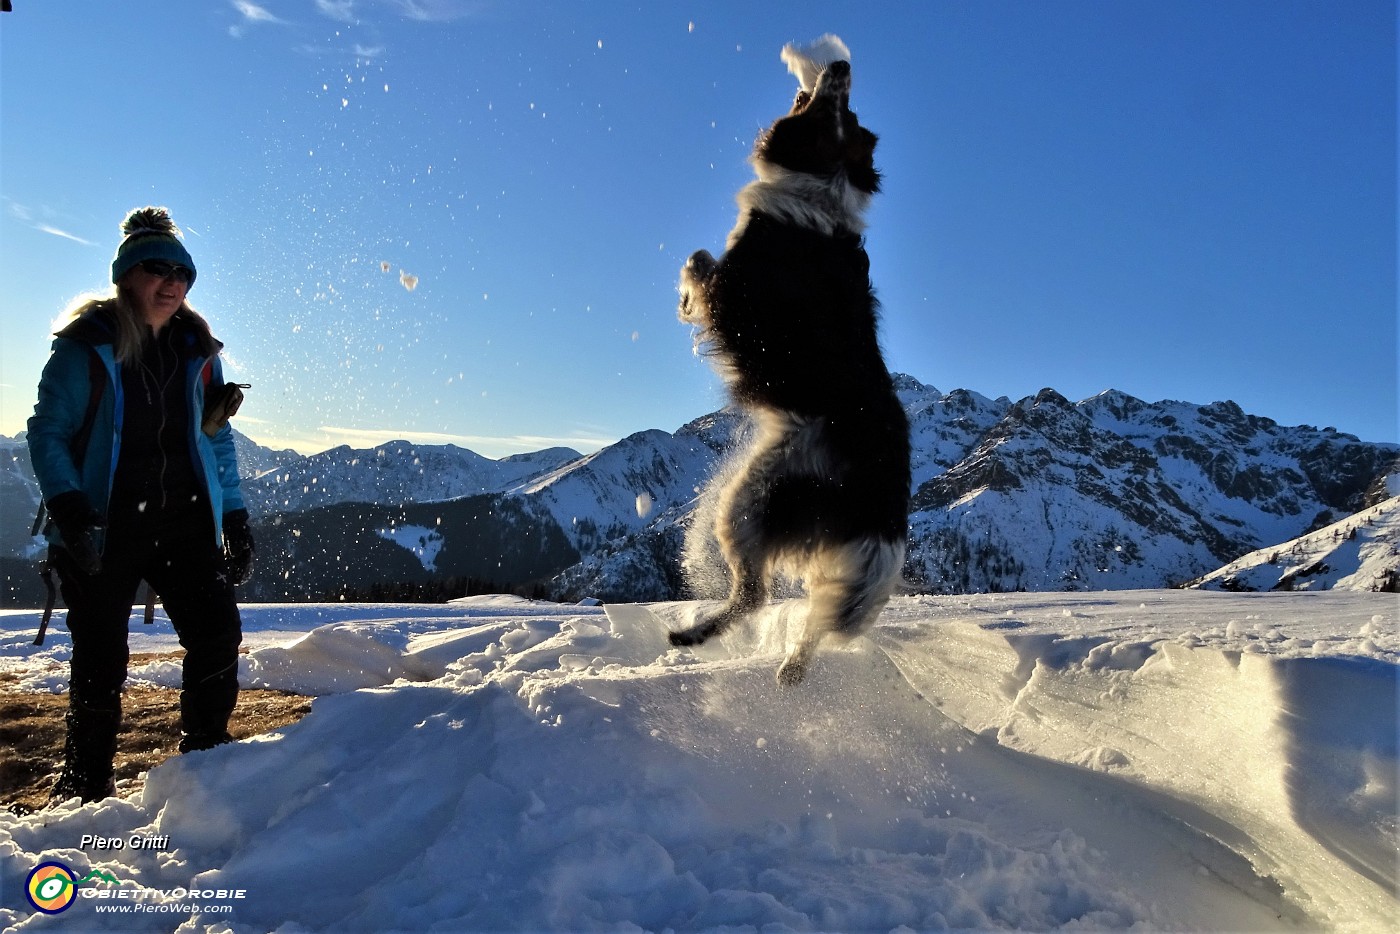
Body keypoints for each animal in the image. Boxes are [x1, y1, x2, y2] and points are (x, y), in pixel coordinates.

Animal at [672, 58, 912, 686]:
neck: (823, 186)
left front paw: (684, 298)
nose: (842, 64)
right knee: (814, 619)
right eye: (850, 113)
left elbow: (700, 260)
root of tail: (882, 516)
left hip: (750, 499)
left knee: (754, 594)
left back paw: (691, 634)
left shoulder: (731, 289)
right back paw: (791, 668)